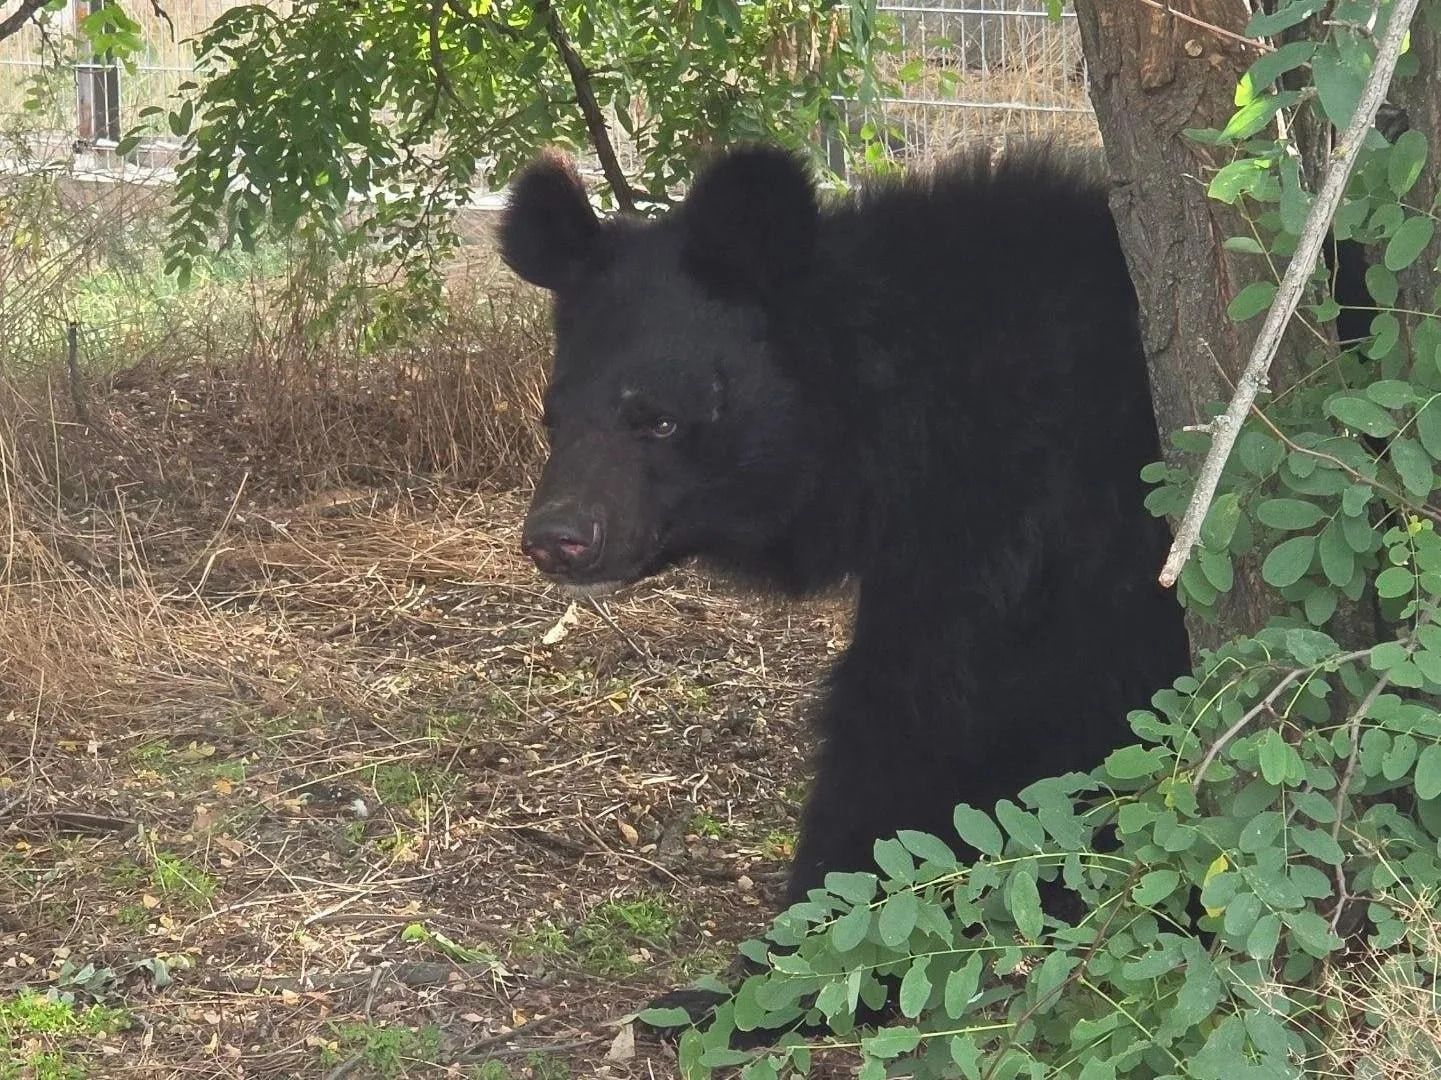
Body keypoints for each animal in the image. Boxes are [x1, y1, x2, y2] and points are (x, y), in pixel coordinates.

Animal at [498, 142, 1191, 1023]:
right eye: (553, 418)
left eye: (658, 419)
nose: (556, 539)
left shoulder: (1023, 520)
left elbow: (914, 711)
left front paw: (775, 974)